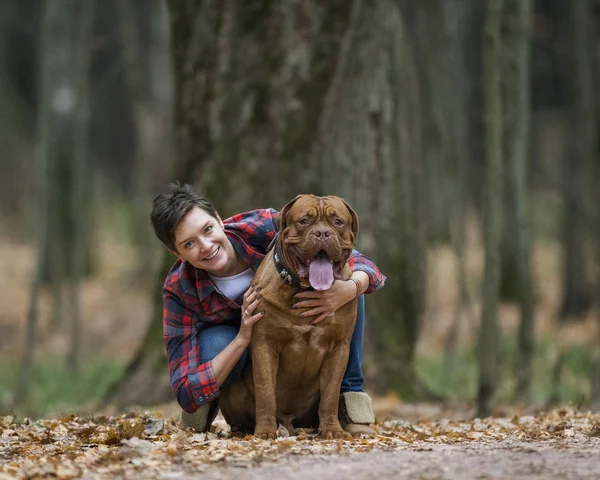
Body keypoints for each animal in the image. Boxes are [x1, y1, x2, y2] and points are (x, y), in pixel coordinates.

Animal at [220, 194, 360, 438]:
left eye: (338, 222)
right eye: (304, 221)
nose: (322, 233)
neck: (305, 289)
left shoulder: (339, 347)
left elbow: (331, 393)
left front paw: (332, 430)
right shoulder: (264, 343)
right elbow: (265, 390)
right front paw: (265, 431)